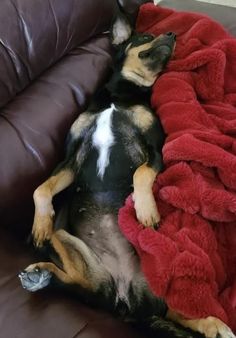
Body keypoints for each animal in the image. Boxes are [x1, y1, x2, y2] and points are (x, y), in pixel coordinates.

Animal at [19, 11, 235, 338]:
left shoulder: (155, 150)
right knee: (79, 284)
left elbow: (141, 174)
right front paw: (39, 225)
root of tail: (125, 301)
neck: (119, 96)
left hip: (161, 269)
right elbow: (41, 188)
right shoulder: (71, 158)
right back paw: (43, 275)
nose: (173, 35)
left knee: (177, 308)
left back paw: (214, 324)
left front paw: (145, 210)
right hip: (76, 252)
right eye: (144, 37)